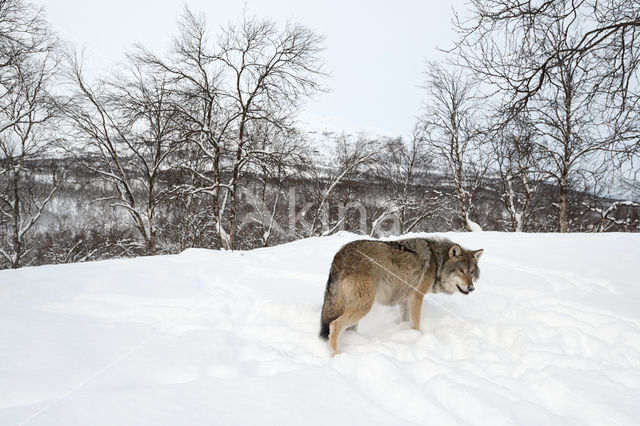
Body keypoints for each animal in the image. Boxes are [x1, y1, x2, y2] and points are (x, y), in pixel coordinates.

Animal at [318, 238, 482, 354]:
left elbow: (405, 320)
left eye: (471, 272)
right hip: (363, 306)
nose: (471, 288)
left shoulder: (404, 300)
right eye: (460, 270)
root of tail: (340, 254)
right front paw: (418, 337)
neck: (437, 262)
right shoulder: (417, 296)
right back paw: (337, 355)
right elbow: (416, 323)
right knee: (334, 325)